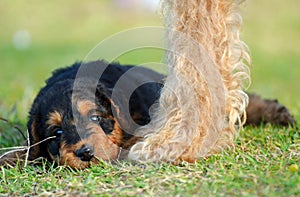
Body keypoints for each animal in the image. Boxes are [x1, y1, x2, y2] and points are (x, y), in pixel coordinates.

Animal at [0, 60, 296, 168]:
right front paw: (12, 158)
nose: (85, 153)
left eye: (95, 118)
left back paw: (278, 113)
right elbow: (30, 148)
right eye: (57, 132)